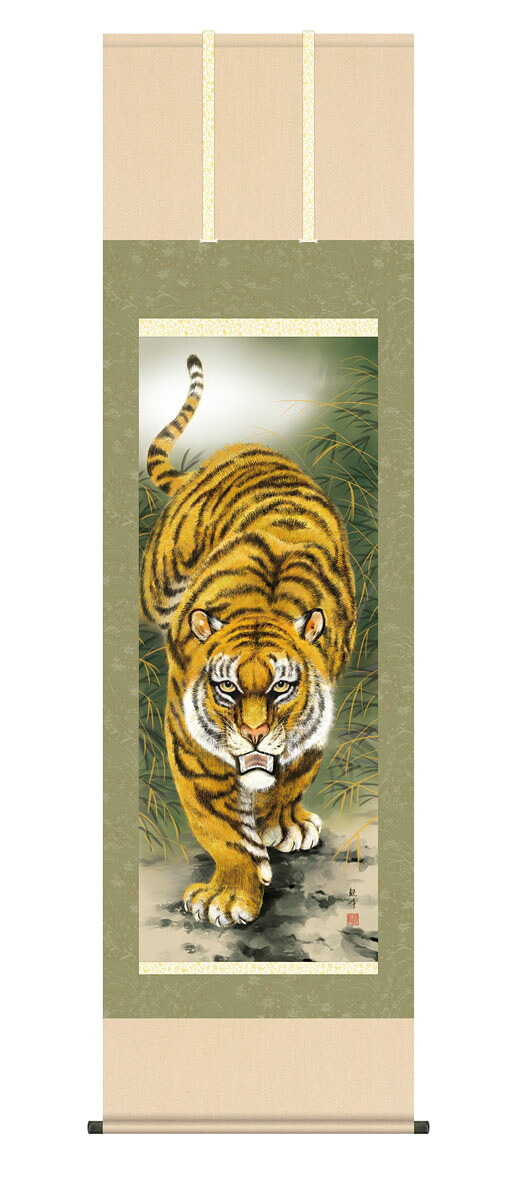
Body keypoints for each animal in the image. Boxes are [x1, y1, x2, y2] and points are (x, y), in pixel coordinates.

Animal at [140, 354, 357, 927]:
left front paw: (282, 822)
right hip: (156, 585)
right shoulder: (189, 741)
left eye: (282, 688)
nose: (256, 735)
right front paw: (231, 894)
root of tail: (225, 453)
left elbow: (292, 774)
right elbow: (217, 823)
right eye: (227, 689)